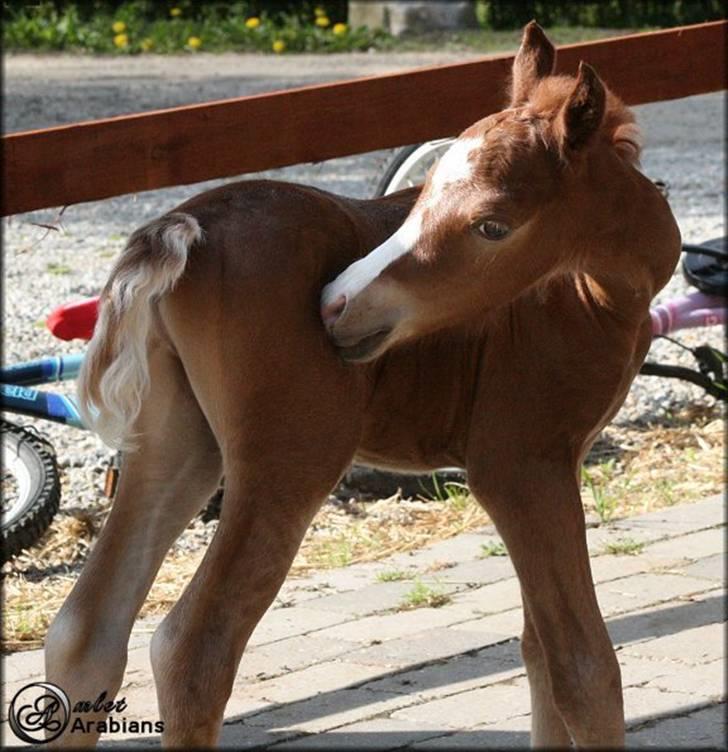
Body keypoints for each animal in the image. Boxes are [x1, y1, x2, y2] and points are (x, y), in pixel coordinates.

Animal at [45, 22, 680, 748]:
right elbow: (582, 667)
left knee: (84, 633)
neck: (597, 293)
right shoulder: (518, 462)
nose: (335, 304)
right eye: (425, 196)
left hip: (176, 443)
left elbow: (538, 652)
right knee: (191, 647)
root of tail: (181, 229)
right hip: (291, 458)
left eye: (492, 224)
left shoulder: (555, 464)